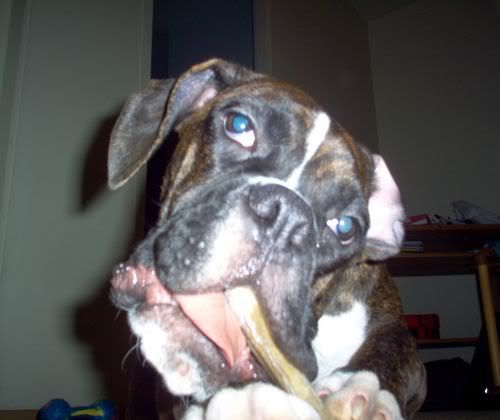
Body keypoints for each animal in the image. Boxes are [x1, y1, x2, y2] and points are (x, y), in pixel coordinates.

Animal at [109, 59, 426, 419]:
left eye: (344, 227)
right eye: (239, 125)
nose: (288, 217)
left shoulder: (398, 334)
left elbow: (390, 347)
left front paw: (360, 389)